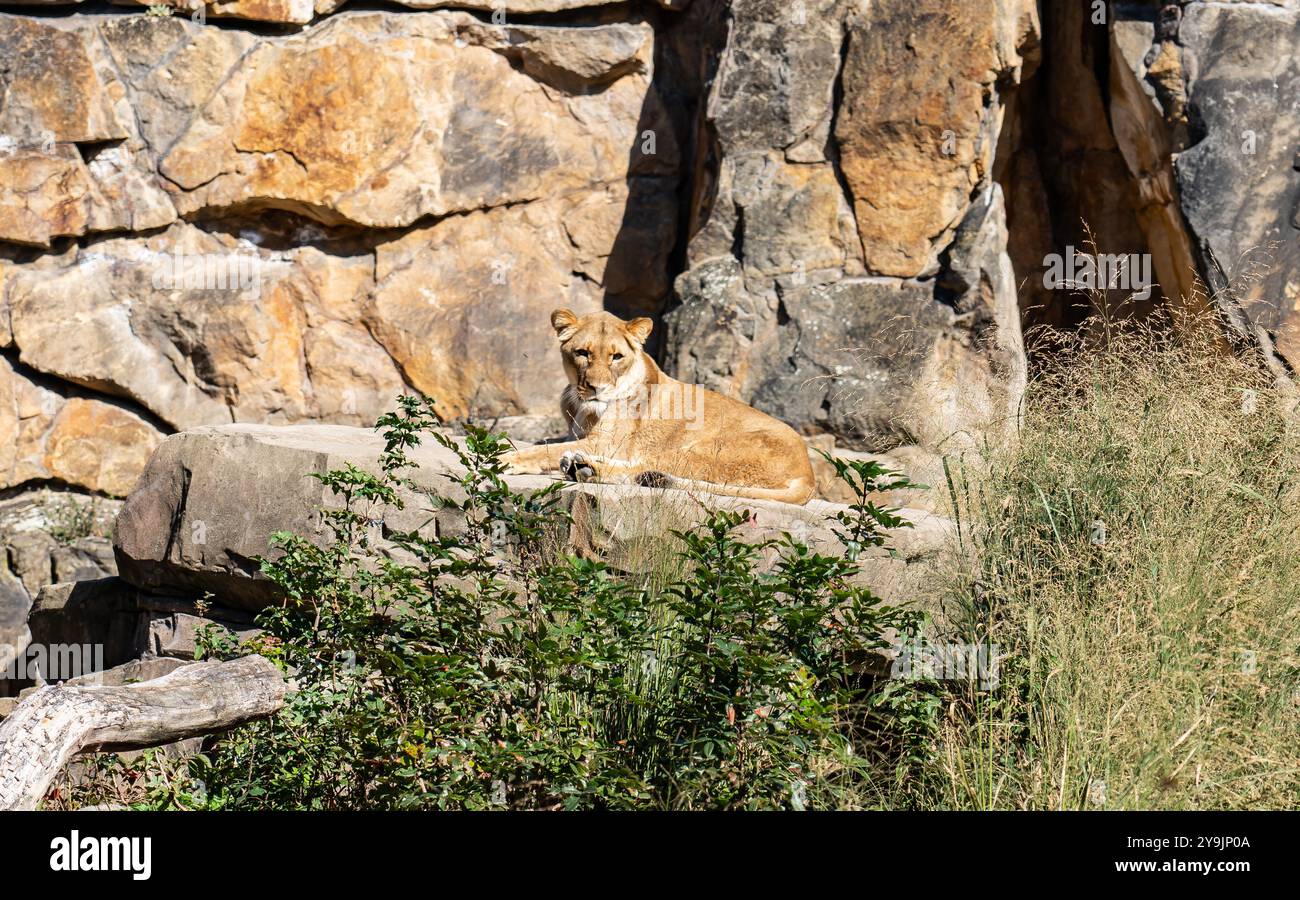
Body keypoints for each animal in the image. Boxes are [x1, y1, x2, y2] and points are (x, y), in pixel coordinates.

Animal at [502, 308, 816, 505]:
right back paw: (576, 465)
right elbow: (547, 443)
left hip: (700, 451)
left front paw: (506, 459)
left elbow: (543, 450)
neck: (582, 406)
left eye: (616, 356)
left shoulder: (608, 443)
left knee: (642, 467)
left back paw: (584, 468)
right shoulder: (580, 435)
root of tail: (808, 474)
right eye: (582, 353)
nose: (597, 388)